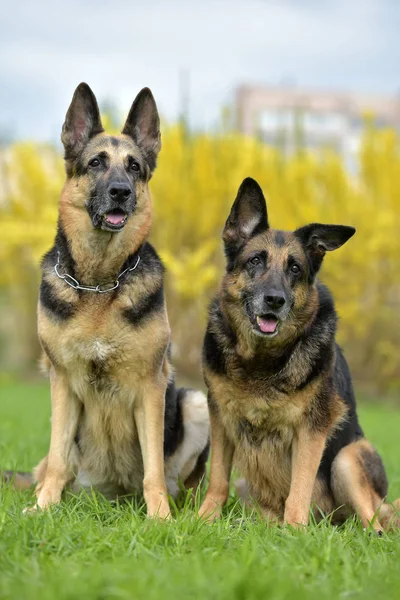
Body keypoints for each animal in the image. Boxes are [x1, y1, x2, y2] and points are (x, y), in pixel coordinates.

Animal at [3, 83, 209, 516]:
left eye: (134, 167)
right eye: (96, 163)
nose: (120, 192)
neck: (99, 282)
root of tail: (114, 495)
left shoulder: (150, 387)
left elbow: (153, 468)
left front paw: (160, 518)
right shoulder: (62, 384)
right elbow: (58, 459)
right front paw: (44, 509)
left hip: (196, 402)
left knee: (183, 480)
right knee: (54, 465)